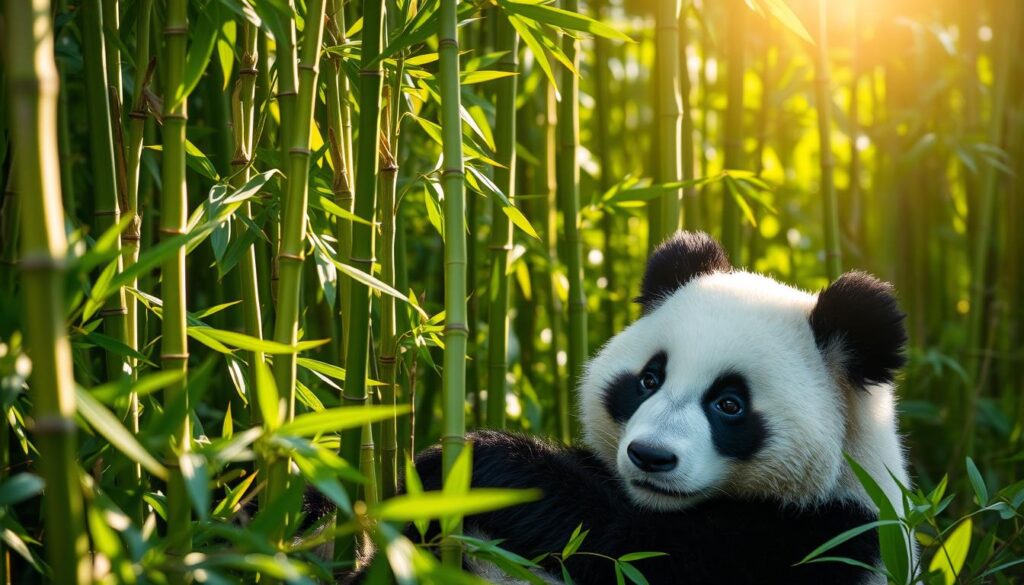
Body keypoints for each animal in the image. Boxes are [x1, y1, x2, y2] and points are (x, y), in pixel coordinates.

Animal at [385, 231, 913, 585]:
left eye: (729, 404)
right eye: (648, 380)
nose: (650, 456)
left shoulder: (817, 539)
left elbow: (625, 551)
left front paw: (484, 462)